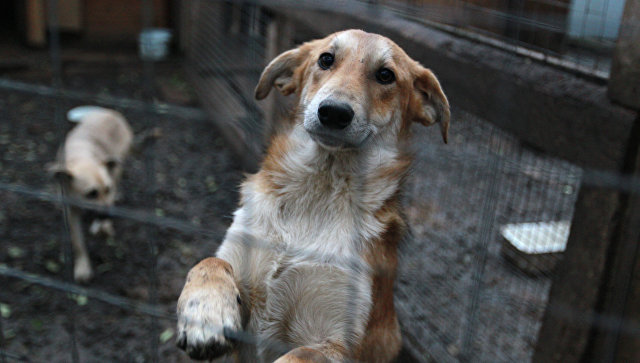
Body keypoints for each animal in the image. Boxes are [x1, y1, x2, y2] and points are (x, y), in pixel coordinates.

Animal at [48, 106, 134, 282]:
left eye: (107, 189)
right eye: (91, 194)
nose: (110, 216)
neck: (81, 157)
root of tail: (112, 113)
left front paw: (104, 226)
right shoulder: (71, 210)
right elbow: (78, 242)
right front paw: (83, 267)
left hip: (117, 167)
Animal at [175, 29, 450, 362]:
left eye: (386, 75)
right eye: (326, 59)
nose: (334, 112)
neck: (318, 193)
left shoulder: (337, 344)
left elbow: (297, 355)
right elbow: (209, 263)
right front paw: (205, 314)